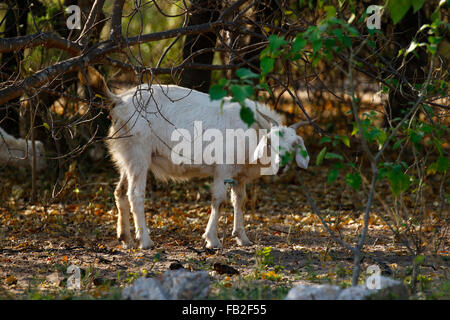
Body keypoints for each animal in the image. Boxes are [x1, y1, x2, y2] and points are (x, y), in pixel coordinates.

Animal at [83, 69, 310, 249]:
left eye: (294, 145)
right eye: (270, 142)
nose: (281, 167)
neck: (251, 129)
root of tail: (119, 101)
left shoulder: (240, 174)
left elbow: (240, 200)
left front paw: (242, 238)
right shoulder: (223, 168)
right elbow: (219, 200)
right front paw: (212, 240)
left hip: (126, 157)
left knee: (119, 191)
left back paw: (126, 238)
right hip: (139, 155)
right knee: (135, 194)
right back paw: (145, 241)